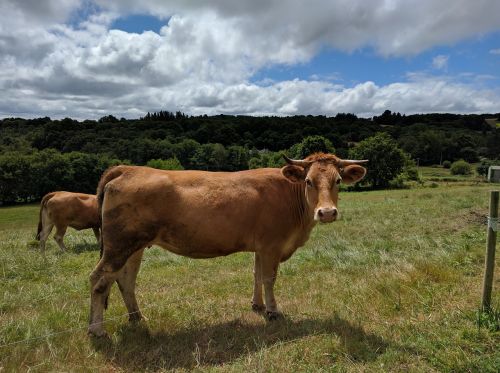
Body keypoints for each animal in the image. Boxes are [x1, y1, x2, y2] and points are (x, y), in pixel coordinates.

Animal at [88, 153, 366, 336]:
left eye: (338, 181)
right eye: (308, 181)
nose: (327, 212)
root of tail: (127, 168)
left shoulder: (261, 247)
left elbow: (256, 275)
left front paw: (257, 305)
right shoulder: (272, 246)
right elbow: (269, 278)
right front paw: (273, 312)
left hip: (133, 247)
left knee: (125, 280)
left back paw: (137, 317)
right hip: (118, 246)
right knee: (99, 280)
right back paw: (97, 330)